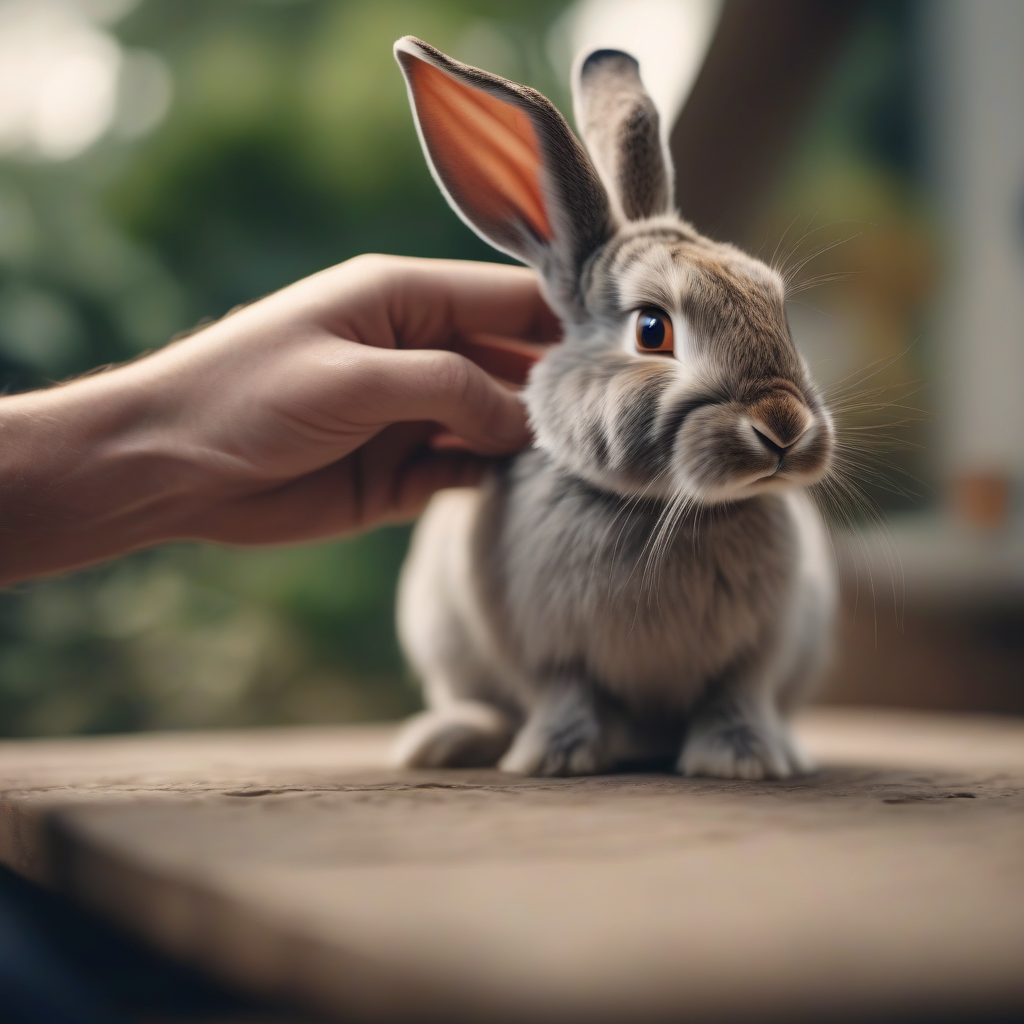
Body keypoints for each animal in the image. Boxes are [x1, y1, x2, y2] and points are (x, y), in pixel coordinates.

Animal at [390, 37, 837, 780]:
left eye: (776, 305)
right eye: (652, 329)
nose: (785, 426)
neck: (658, 509)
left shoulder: (758, 653)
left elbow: (737, 696)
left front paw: (741, 761)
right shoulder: (547, 651)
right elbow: (565, 695)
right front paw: (555, 759)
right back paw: (445, 741)